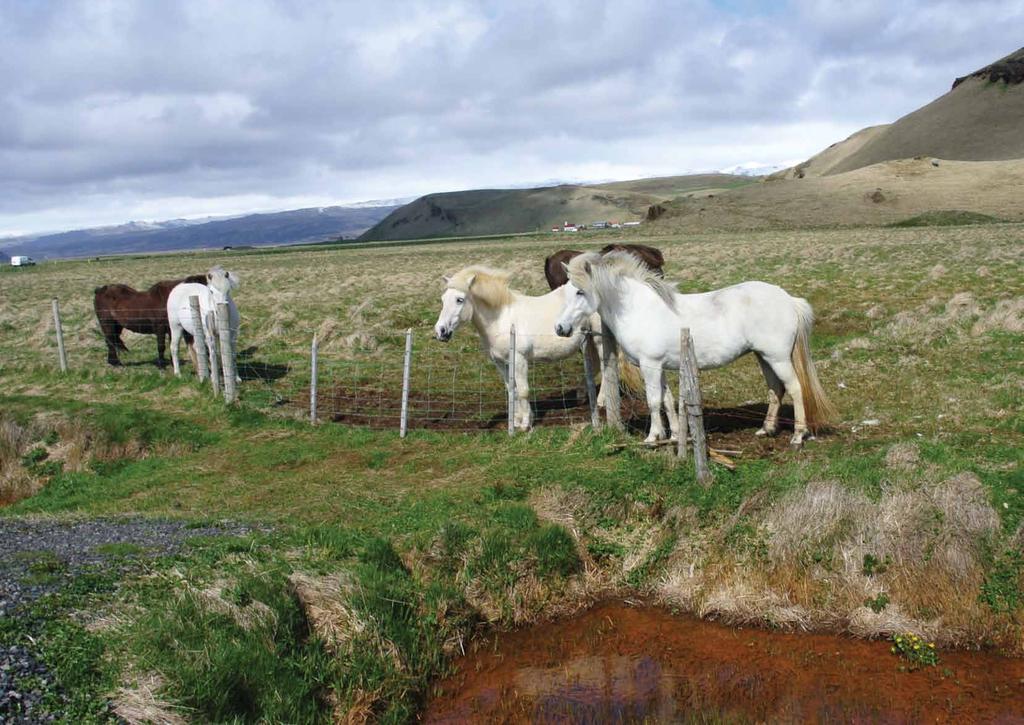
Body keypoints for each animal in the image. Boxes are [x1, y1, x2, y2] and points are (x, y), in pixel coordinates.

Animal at [557, 254, 835, 446]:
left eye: (580, 291)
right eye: (566, 292)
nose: (560, 328)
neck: (638, 308)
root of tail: (788, 300)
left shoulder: (650, 365)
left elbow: (653, 400)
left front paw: (653, 437)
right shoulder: (659, 367)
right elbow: (667, 400)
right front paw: (674, 436)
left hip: (778, 358)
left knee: (795, 389)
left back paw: (798, 436)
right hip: (764, 358)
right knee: (775, 390)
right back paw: (766, 429)